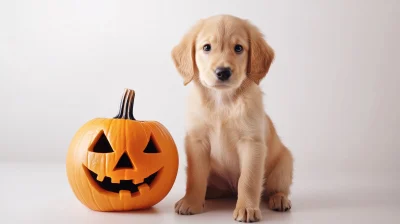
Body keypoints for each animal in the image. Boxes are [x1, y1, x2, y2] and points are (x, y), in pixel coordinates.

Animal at [170, 14, 292, 222]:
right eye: (207, 47)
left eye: (238, 48)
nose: (223, 72)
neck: (222, 102)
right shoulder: (197, 141)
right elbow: (195, 177)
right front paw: (191, 202)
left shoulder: (252, 143)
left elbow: (248, 180)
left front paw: (247, 208)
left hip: (284, 165)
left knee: (275, 189)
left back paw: (280, 199)